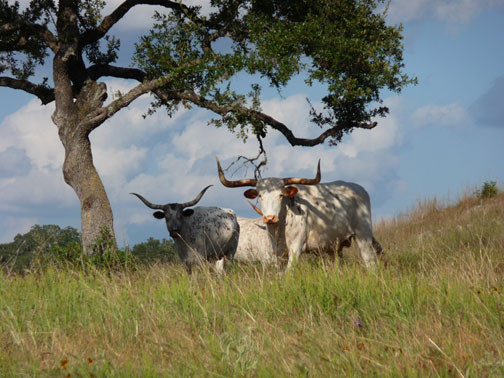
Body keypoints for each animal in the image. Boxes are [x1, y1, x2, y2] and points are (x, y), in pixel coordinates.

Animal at [217, 158, 382, 270]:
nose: (270, 218)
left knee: (370, 261)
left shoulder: (296, 248)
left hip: (363, 236)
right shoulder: (277, 252)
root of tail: (358, 188)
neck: (281, 227)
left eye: (281, 195)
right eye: (260, 195)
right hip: (335, 246)